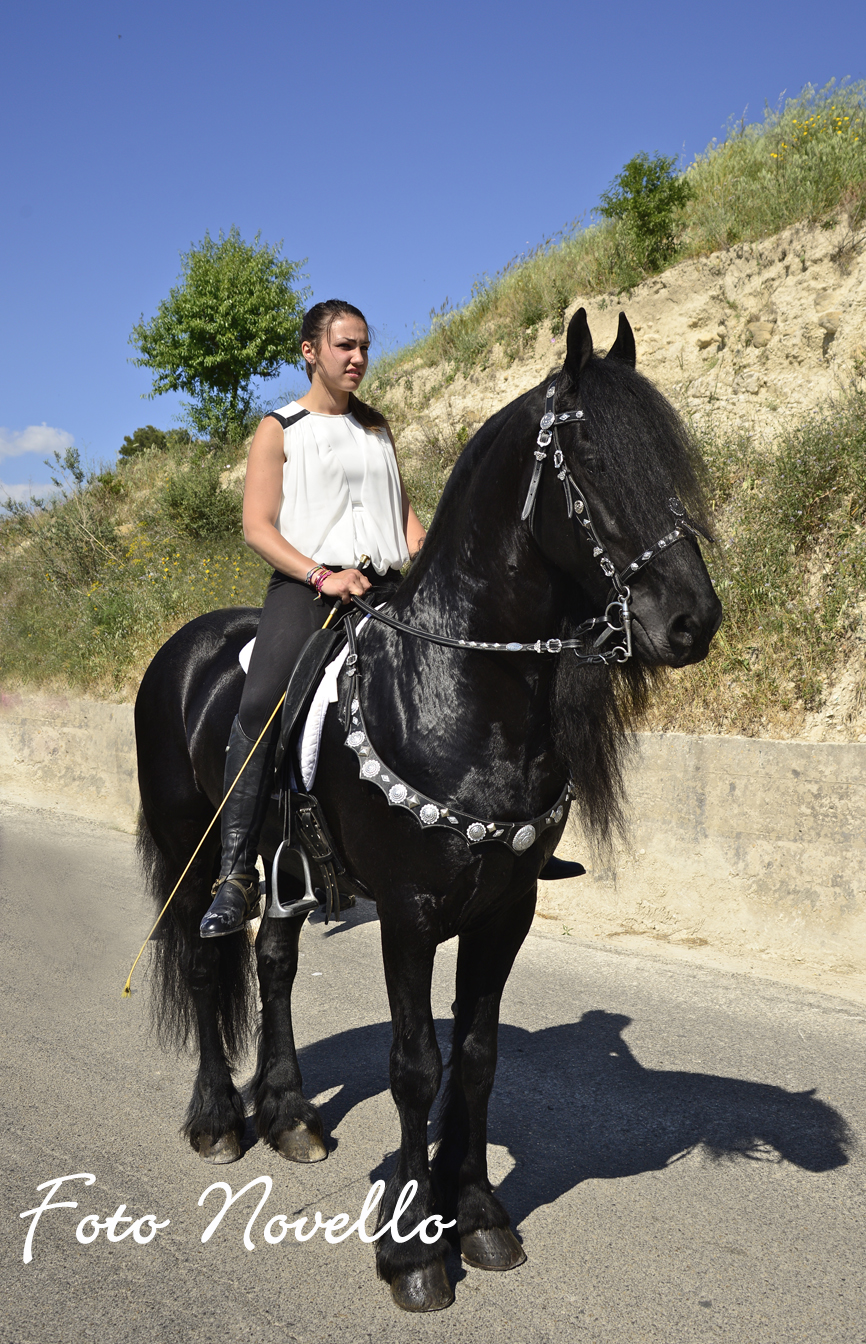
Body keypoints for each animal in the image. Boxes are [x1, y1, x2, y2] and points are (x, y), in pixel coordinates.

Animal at [135, 308, 722, 1312]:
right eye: (590, 454)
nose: (693, 620)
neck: (458, 688)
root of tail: (182, 648)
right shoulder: (408, 917)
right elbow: (416, 1067)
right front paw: (411, 1249)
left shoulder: (505, 911)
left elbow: (477, 1059)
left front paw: (477, 1213)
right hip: (192, 850)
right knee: (211, 961)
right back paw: (218, 1118)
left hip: (284, 869)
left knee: (274, 962)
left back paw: (288, 1114)